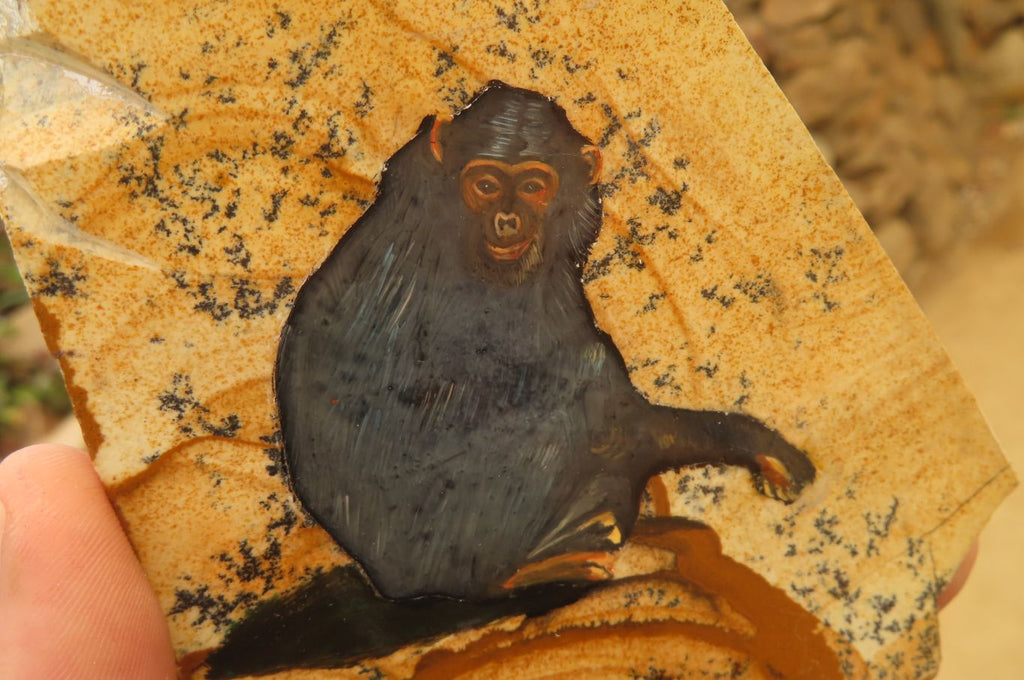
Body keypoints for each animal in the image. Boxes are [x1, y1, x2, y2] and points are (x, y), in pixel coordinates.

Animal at [274, 81, 816, 602]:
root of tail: (387, 582)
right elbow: (607, 408)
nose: (508, 218)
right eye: (486, 185)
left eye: (534, 187)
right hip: (451, 542)